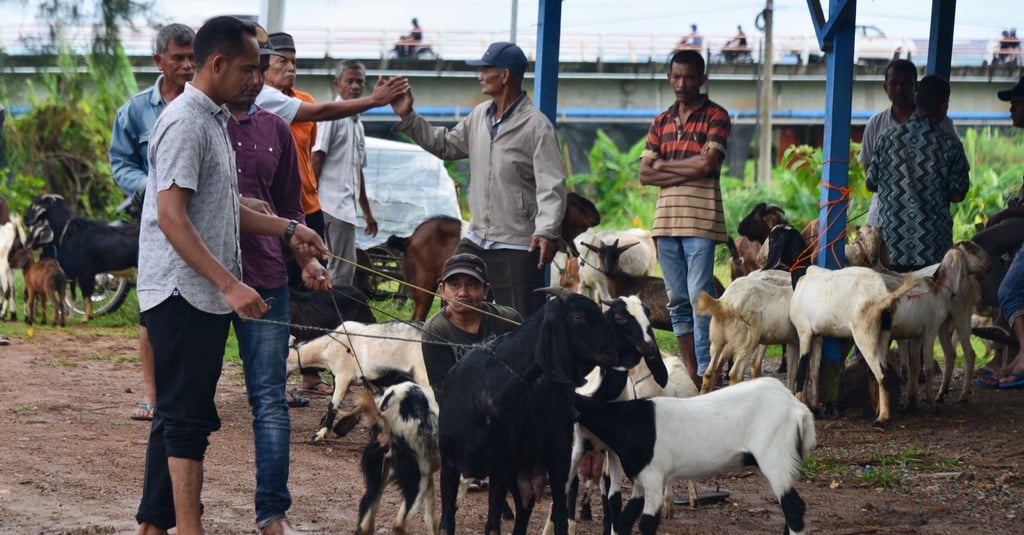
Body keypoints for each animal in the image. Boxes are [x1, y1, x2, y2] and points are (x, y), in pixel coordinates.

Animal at [436, 286, 618, 532]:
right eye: (578, 317)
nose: (615, 351)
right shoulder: (449, 465)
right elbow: (446, 524)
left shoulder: (500, 468)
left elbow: (492, 526)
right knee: (524, 511)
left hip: (557, 452)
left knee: (558, 512)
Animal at [577, 375, 815, 532]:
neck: (627, 423)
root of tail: (799, 409)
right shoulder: (640, 480)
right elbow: (625, 519)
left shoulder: (654, 476)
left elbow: (647, 524)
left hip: (775, 454)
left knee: (794, 508)